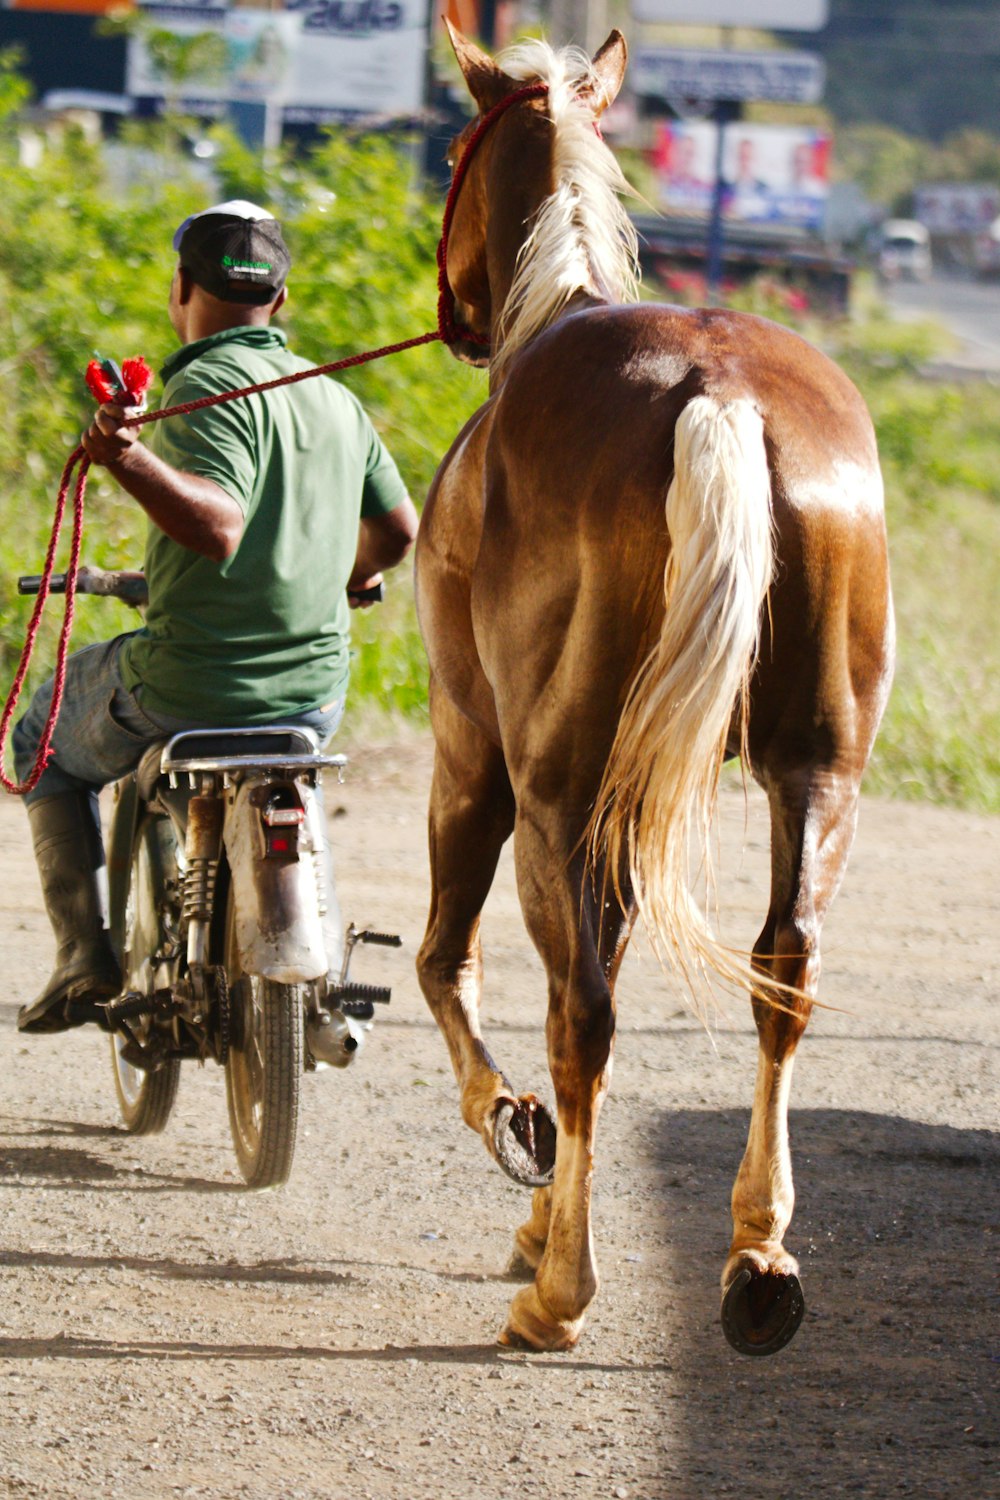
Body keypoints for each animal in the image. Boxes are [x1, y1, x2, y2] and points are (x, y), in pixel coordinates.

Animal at [410, 26, 893, 1362]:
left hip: (554, 791)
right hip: (815, 774)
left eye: (453, 153)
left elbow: (446, 966)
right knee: (785, 973)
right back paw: (758, 1257)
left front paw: (517, 1146)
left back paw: (559, 1292)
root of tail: (715, 392)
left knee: (580, 1014)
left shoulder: (472, 760)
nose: (454, 314)